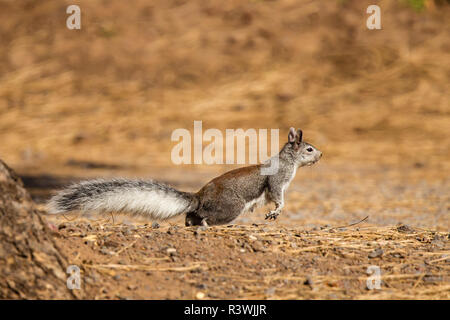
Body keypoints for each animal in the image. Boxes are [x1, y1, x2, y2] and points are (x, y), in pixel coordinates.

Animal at [47, 129, 322, 226]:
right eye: (309, 149)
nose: (321, 154)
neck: (288, 162)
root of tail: (199, 197)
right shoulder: (277, 181)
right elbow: (277, 196)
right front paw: (277, 211)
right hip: (230, 207)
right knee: (204, 216)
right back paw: (206, 225)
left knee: (191, 216)